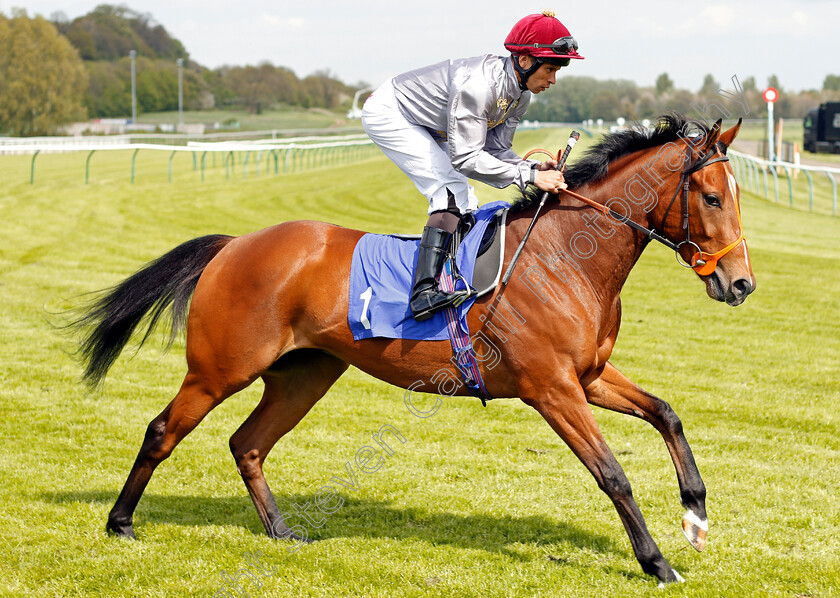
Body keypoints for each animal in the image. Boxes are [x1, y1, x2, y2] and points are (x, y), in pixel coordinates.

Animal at [72, 115, 756, 588]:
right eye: (712, 197)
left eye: (737, 195)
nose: (741, 283)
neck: (564, 256)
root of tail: (235, 244)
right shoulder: (552, 389)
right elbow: (612, 473)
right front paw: (657, 562)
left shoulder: (587, 376)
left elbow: (667, 413)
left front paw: (695, 514)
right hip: (220, 369)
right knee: (163, 430)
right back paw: (121, 522)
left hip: (303, 375)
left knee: (248, 443)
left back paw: (282, 531)